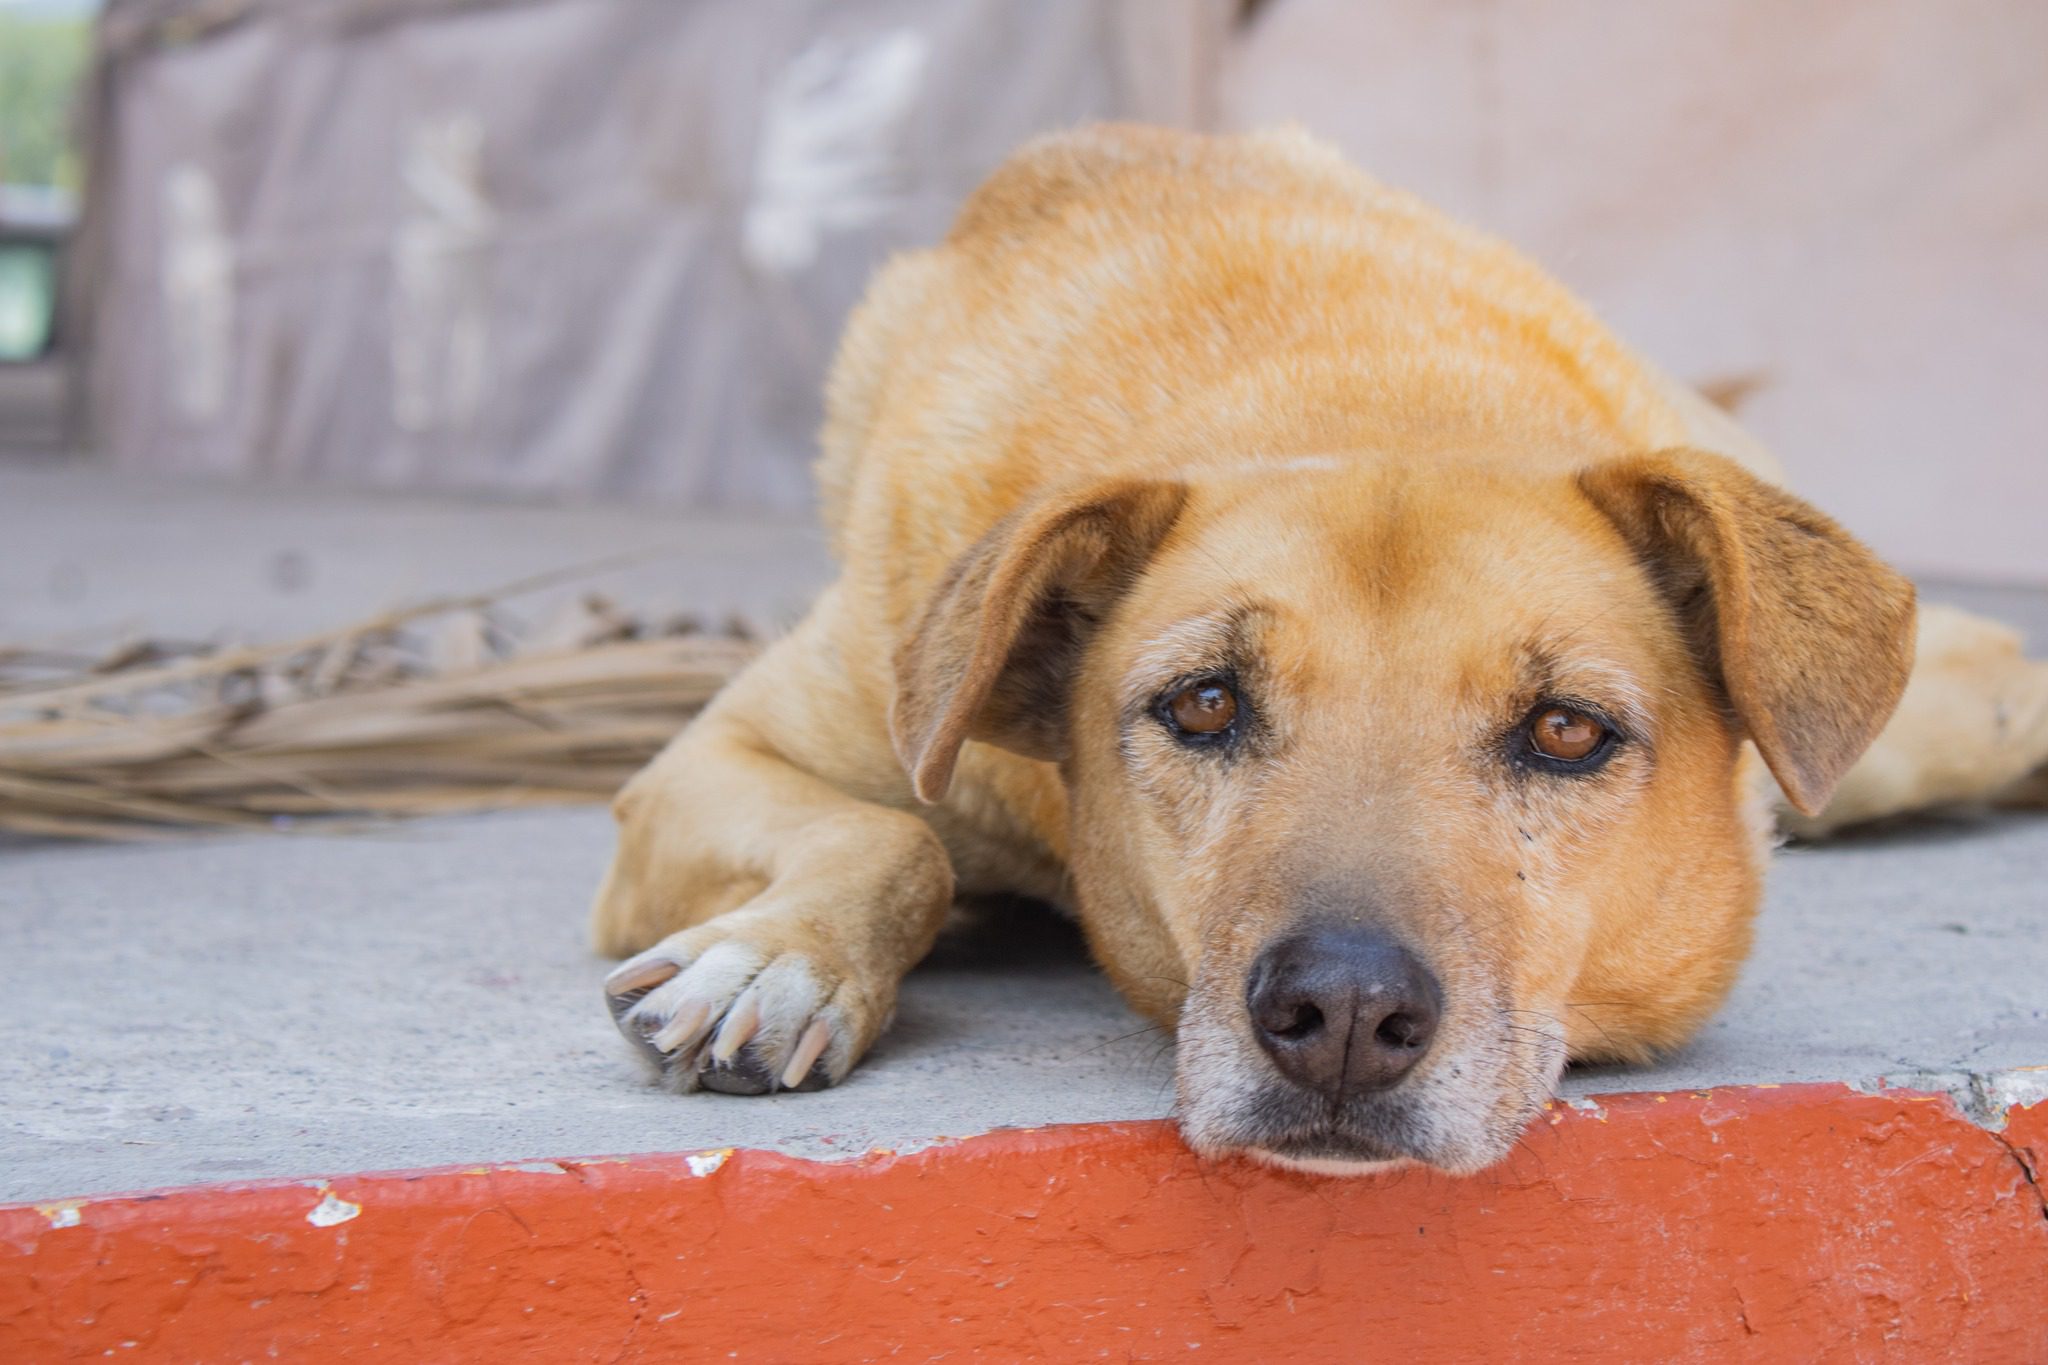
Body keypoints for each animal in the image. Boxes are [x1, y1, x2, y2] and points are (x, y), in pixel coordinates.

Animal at [593, 127, 2031, 1178]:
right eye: (1203, 704)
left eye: (1565, 730)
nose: (1341, 1017)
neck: (1358, 396)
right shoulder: (710, 758)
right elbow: (897, 838)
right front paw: (774, 962)